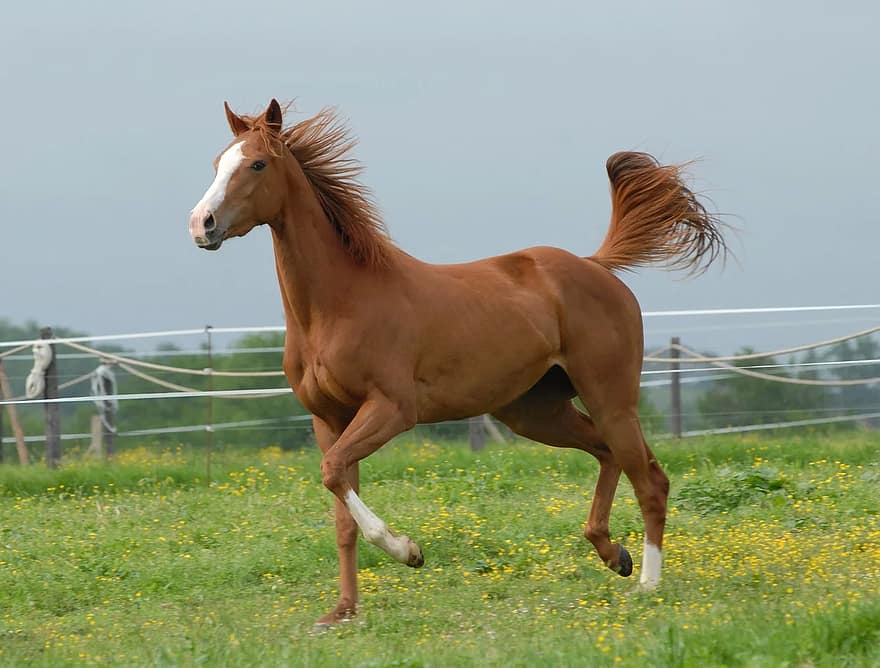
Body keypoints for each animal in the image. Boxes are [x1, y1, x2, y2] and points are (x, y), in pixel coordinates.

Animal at [189, 99, 724, 628]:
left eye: (257, 164)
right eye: (217, 163)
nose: (201, 224)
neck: (337, 305)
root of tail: (596, 265)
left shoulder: (392, 410)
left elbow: (334, 473)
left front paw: (409, 551)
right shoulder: (329, 419)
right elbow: (340, 509)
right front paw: (342, 611)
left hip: (610, 397)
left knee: (649, 479)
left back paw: (647, 585)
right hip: (535, 411)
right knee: (609, 455)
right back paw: (614, 555)